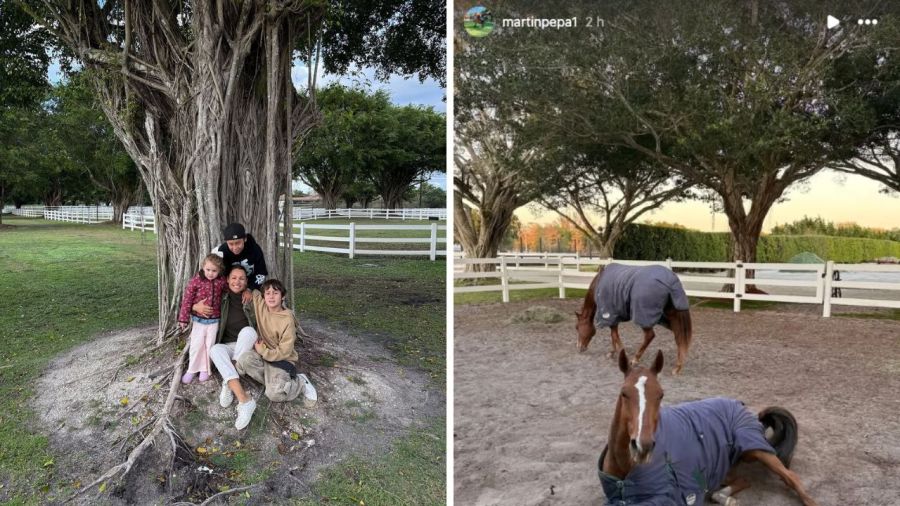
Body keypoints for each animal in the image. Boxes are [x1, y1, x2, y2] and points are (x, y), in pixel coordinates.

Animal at [596, 352, 816, 506]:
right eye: (624, 393)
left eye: (660, 394)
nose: (643, 446)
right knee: (742, 480)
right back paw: (724, 497)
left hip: (758, 451)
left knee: (791, 478)